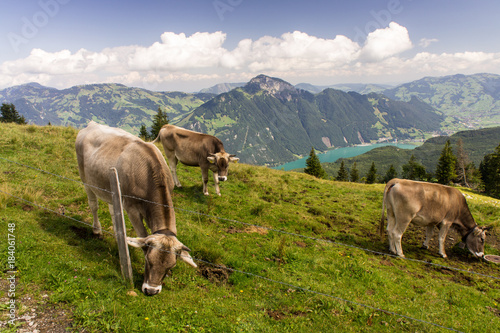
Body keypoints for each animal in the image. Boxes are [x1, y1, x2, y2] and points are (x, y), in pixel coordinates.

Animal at [76, 120, 197, 294]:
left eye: (171, 266)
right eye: (148, 260)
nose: (151, 291)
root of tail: (91, 124)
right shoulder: (132, 209)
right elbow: (142, 235)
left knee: (113, 210)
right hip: (86, 180)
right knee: (94, 205)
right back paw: (97, 230)